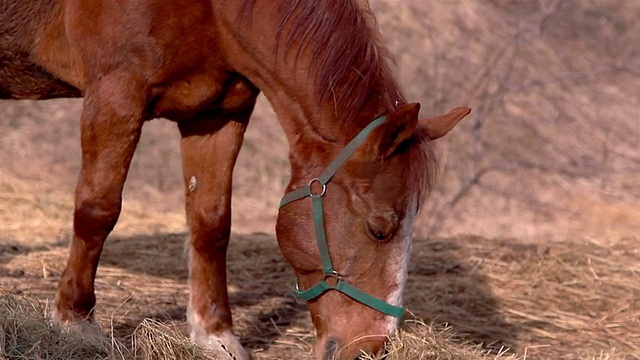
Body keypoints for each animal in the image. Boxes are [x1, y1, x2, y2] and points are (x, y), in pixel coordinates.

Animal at [1, 0, 470, 360]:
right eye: (378, 230)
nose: (373, 347)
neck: (214, 10)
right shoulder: (116, 93)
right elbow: (98, 209)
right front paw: (74, 321)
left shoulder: (217, 115)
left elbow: (211, 224)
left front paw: (214, 335)